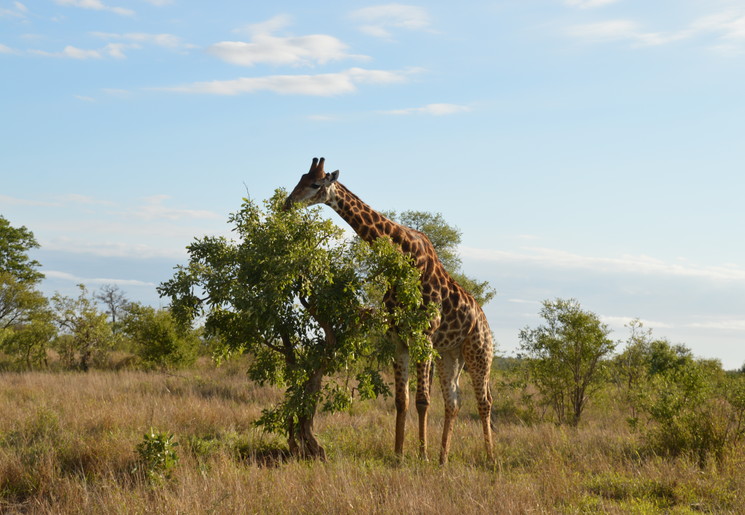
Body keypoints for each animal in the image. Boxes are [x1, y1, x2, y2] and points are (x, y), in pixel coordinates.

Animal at [284, 157, 494, 465]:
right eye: (300, 178)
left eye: (315, 183)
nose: (287, 203)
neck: (404, 259)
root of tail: (485, 322)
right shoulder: (398, 338)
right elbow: (401, 400)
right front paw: (399, 454)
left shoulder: (422, 336)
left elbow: (422, 400)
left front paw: (422, 456)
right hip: (450, 354)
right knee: (454, 401)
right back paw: (444, 458)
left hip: (479, 352)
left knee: (484, 401)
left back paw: (490, 458)